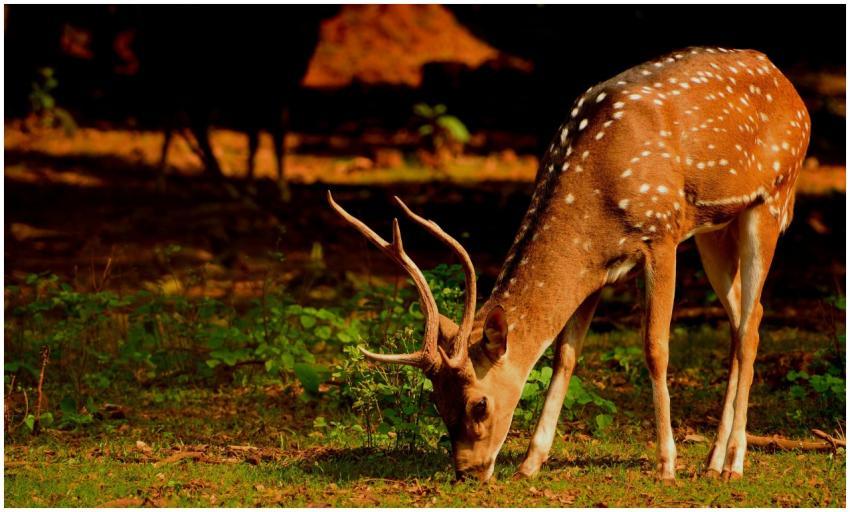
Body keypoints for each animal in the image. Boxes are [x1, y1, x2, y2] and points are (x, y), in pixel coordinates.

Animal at [329, 46, 810, 483]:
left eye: (479, 404)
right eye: (436, 402)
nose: (467, 471)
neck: (594, 199)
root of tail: (790, 88)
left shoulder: (662, 233)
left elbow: (655, 348)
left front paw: (667, 465)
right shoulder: (597, 269)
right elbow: (565, 355)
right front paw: (530, 463)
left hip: (771, 199)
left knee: (750, 328)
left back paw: (733, 463)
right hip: (715, 227)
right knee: (746, 319)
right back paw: (711, 461)